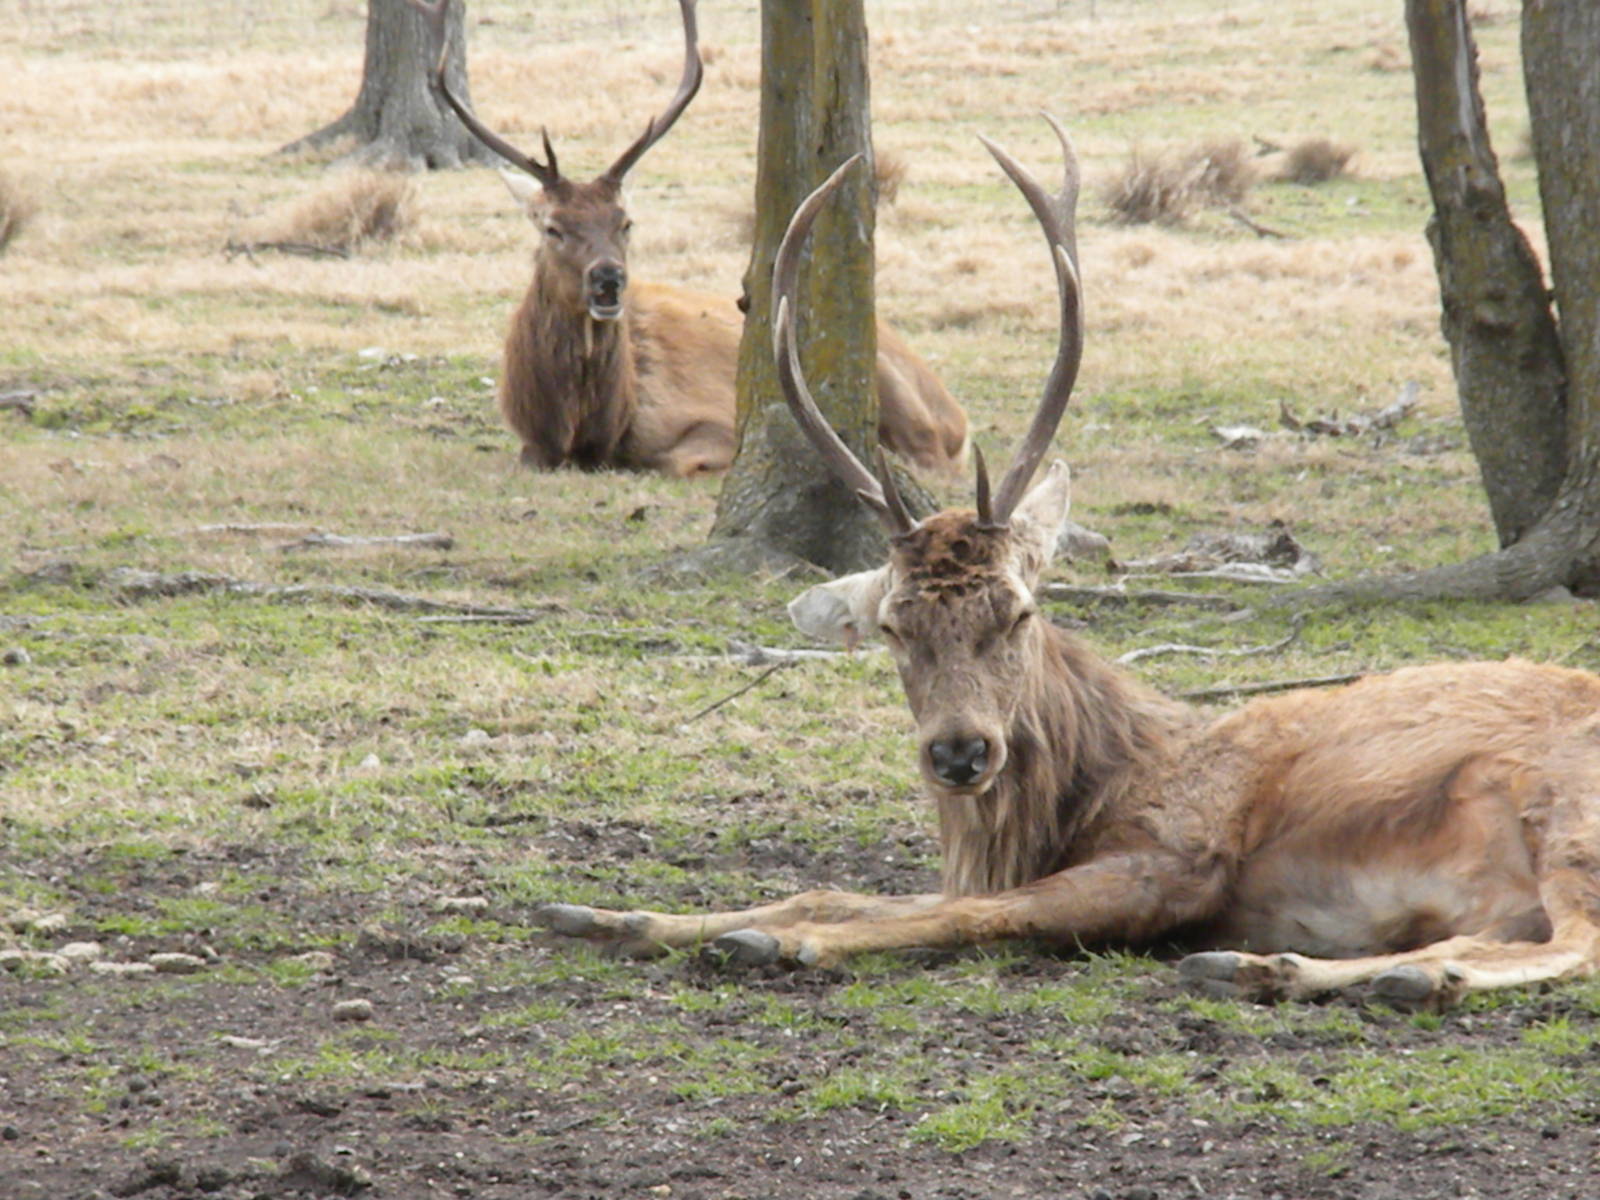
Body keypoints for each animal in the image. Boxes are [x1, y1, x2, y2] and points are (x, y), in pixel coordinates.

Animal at [409, 0, 969, 478]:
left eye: (625, 222)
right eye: (553, 226)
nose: (608, 278)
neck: (588, 427)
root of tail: (955, 412)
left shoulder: (713, 418)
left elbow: (671, 461)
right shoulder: (530, 446)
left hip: (892, 388)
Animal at [533, 115, 1600, 1010]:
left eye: (1018, 609)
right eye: (894, 625)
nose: (960, 752)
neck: (1107, 780)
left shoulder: (1177, 856)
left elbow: (961, 913)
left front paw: (775, 943)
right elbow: (832, 890)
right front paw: (604, 915)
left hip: (1565, 808)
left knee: (1570, 941)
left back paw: (1334, 970)